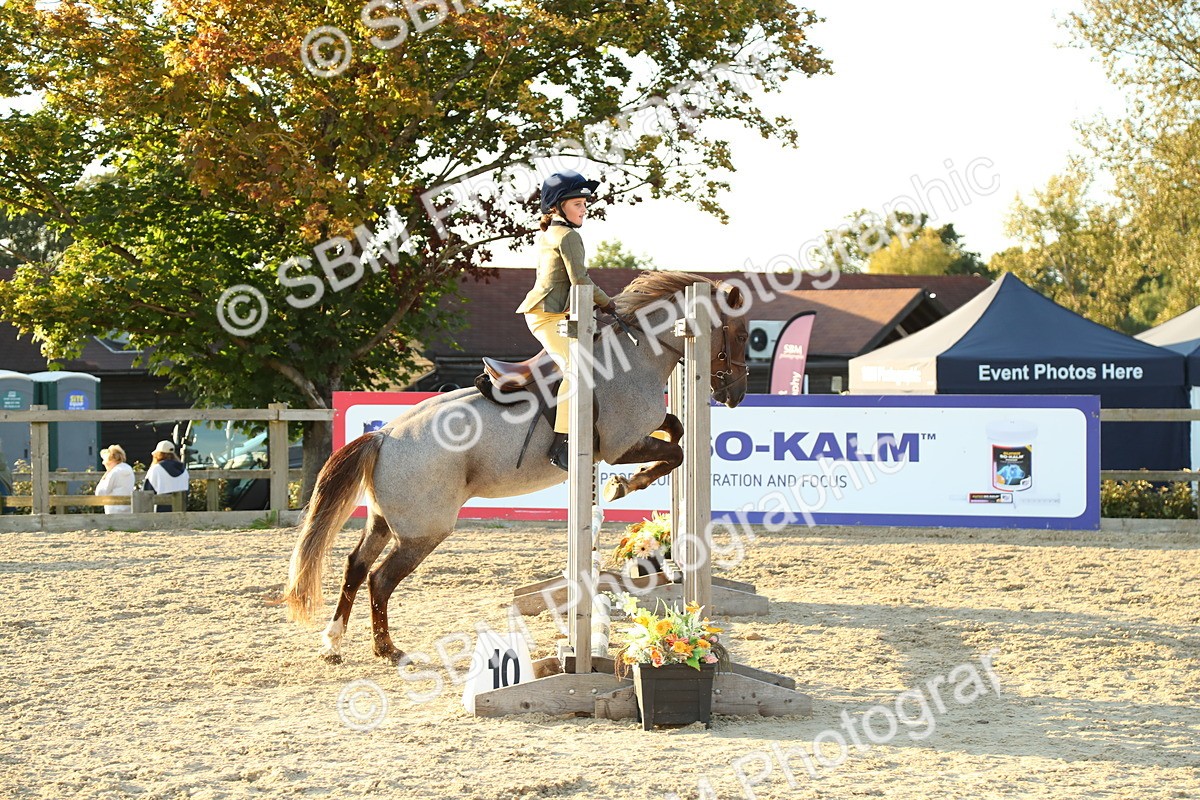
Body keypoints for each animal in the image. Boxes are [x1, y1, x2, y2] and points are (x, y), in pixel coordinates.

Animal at [282, 272, 749, 662]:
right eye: (742, 334)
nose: (736, 396)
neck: (635, 356)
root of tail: (384, 436)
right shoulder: (621, 445)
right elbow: (676, 453)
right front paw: (621, 485)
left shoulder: (638, 434)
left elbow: (677, 432)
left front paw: (625, 483)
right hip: (423, 531)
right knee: (379, 579)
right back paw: (388, 649)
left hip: (383, 521)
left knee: (355, 567)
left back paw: (333, 642)